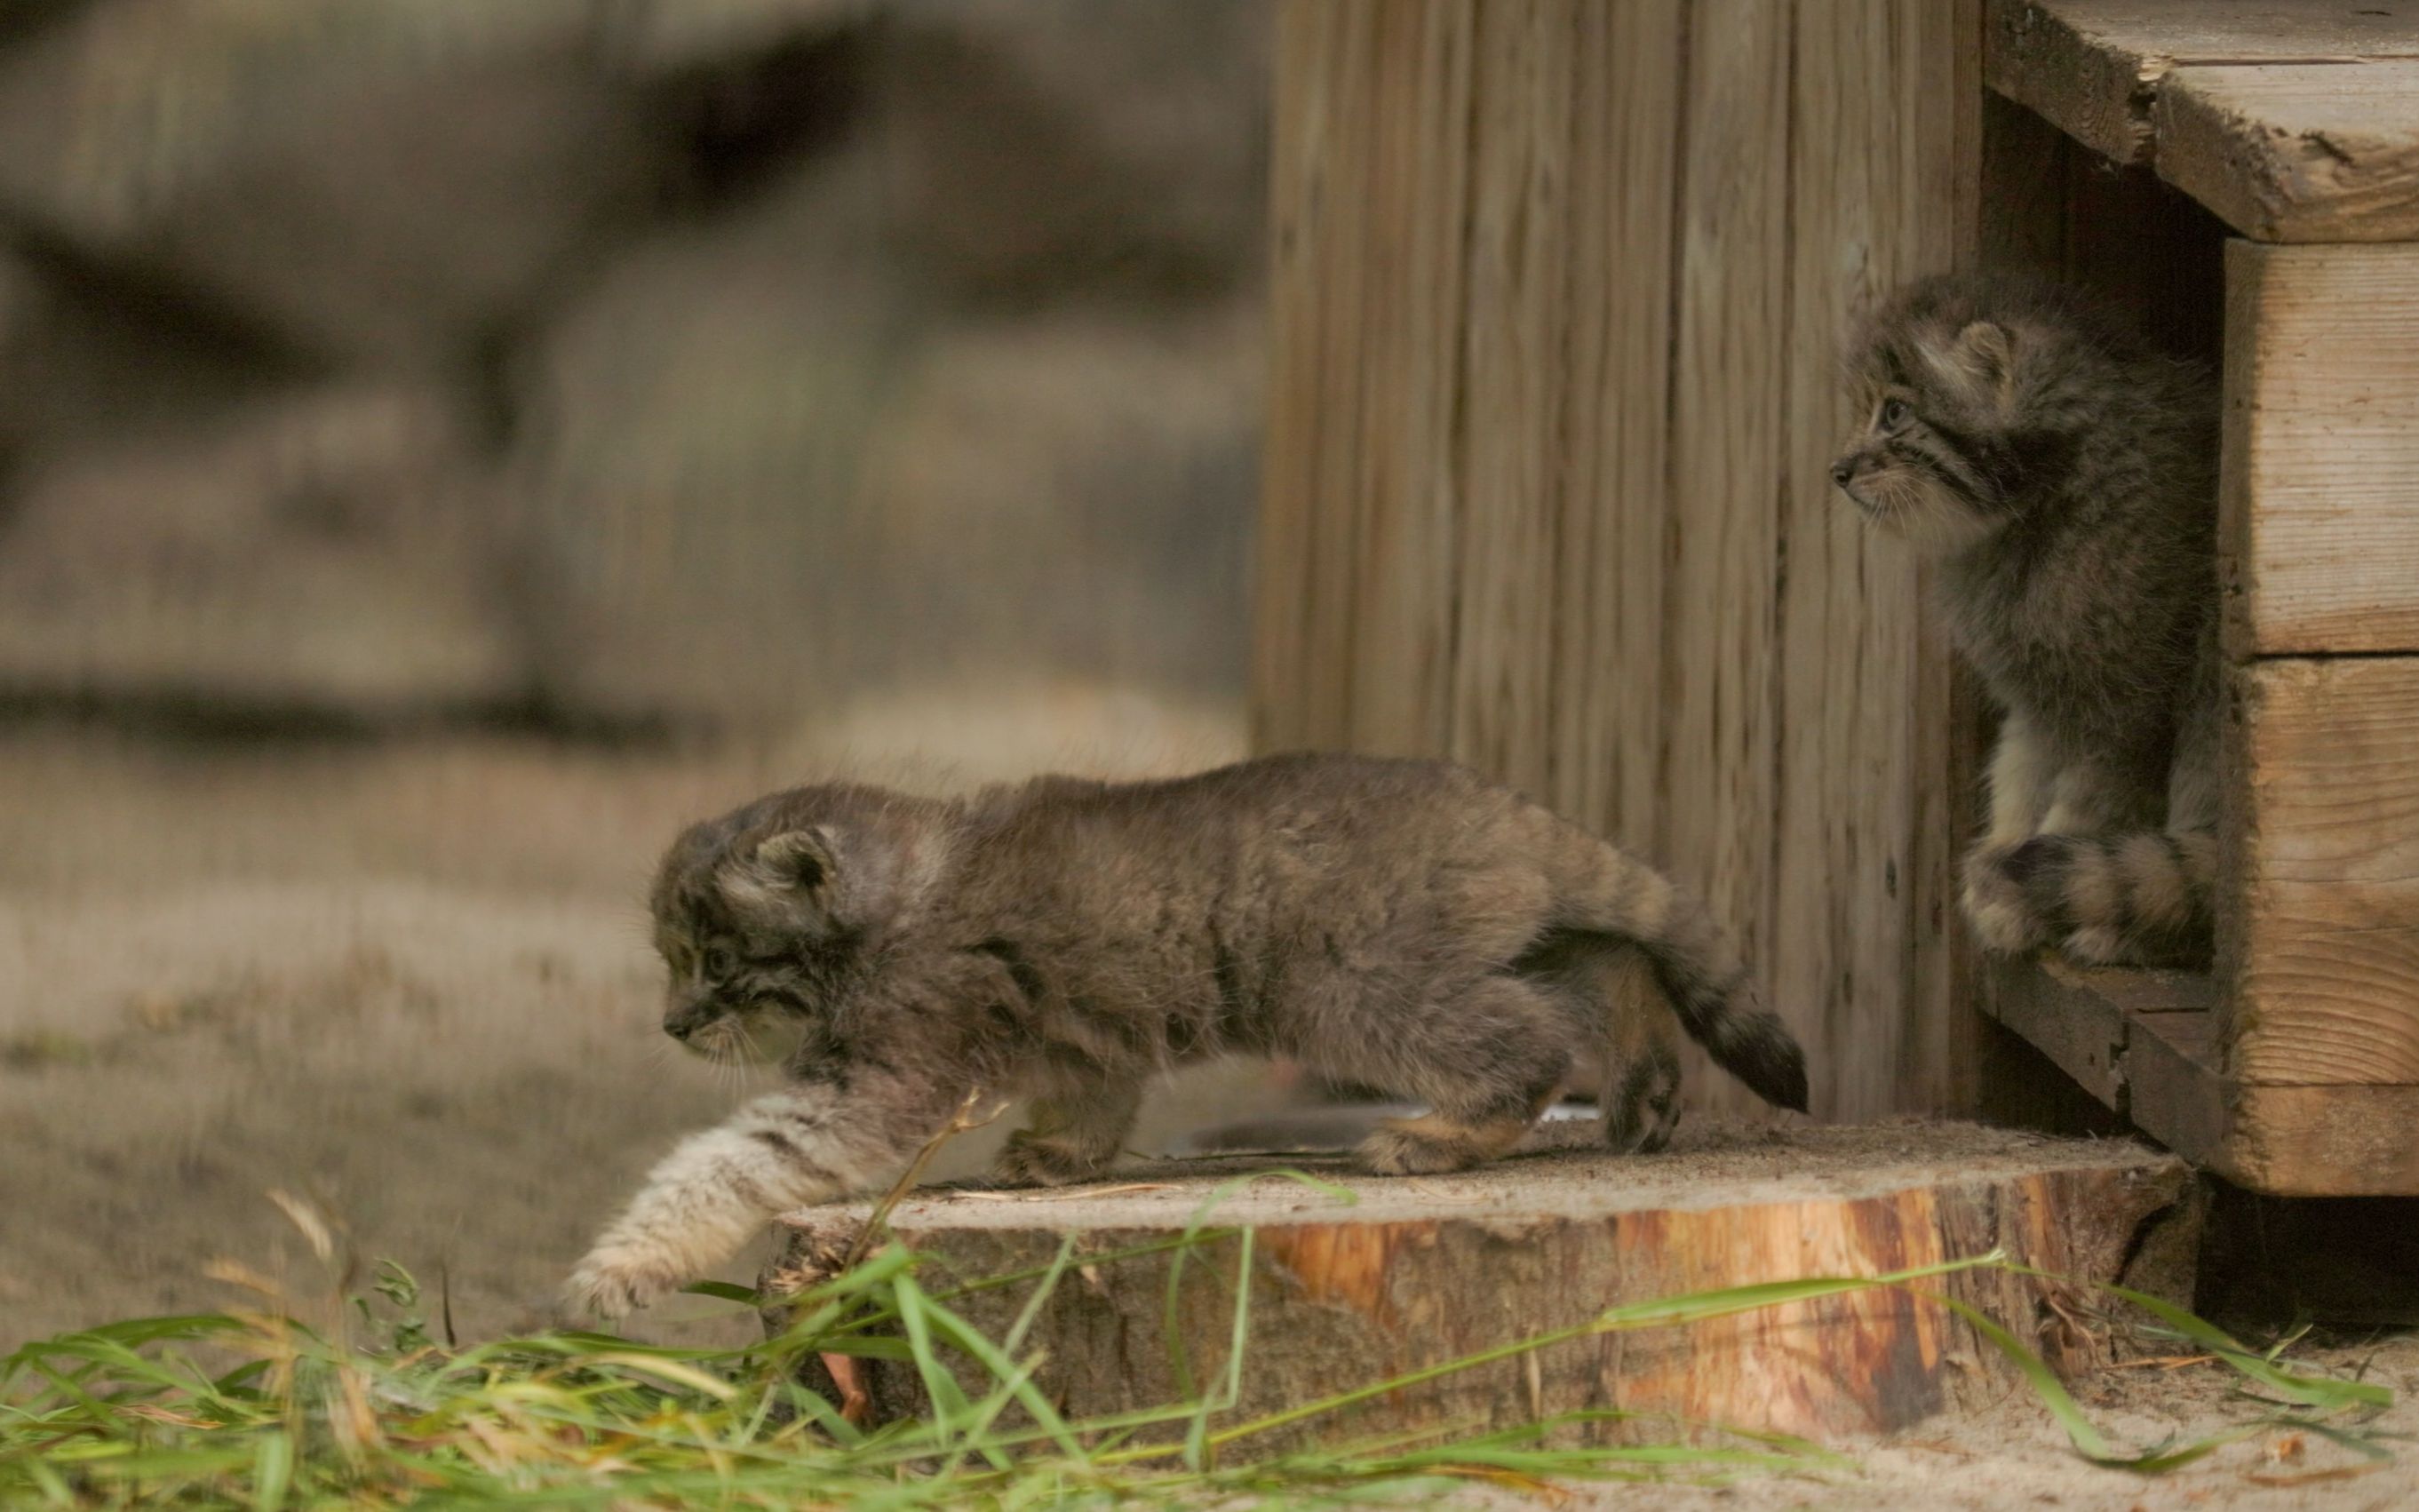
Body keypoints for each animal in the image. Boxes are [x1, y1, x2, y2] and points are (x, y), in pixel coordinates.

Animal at [566, 750, 1809, 1306]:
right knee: (1610, 963)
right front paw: (1059, 1157)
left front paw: (621, 1262)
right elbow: (1092, 1101)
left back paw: (1444, 1136)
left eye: (712, 962)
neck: (907, 887)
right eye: (671, 962)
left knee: (1532, 1042)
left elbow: (726, 1162)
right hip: (1489, 946)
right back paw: (1645, 1089)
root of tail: (1504, 803)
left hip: (1358, 988)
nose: (672, 1024)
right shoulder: (1078, 1045)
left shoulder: (879, 1076)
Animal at [1828, 272, 2216, 967]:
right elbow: (2022, 766)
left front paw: (2027, 889)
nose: (1837, 471)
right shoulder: (2036, 693)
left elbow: (2092, 799)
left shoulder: (2126, 706)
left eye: (1894, 414)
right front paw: (2002, 859)